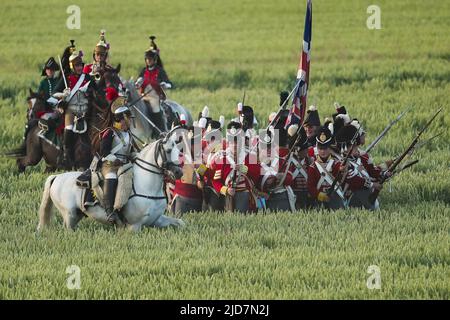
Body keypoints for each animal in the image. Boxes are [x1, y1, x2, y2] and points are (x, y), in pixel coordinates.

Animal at [37, 128, 185, 232]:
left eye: (178, 150)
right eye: (168, 150)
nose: (179, 172)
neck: (147, 187)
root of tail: (56, 177)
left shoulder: (157, 220)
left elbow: (181, 223)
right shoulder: (134, 227)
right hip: (70, 215)